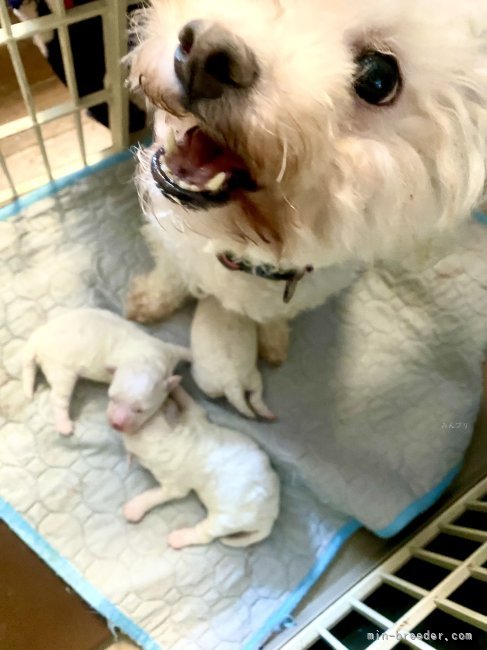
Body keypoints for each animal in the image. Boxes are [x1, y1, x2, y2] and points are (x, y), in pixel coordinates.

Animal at [22, 308, 192, 436]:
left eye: (140, 410)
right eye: (112, 399)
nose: (116, 424)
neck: (144, 360)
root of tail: (36, 340)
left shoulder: (167, 351)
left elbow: (182, 350)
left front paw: (194, 356)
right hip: (61, 369)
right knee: (57, 398)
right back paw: (64, 425)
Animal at [121, 384, 280, 548]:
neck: (170, 441)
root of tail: (269, 520)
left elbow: (157, 494)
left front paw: (134, 507)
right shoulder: (193, 419)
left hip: (226, 520)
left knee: (205, 536)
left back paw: (179, 537)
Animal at [125, 1, 487, 404]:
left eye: (379, 77)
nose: (205, 55)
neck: (241, 248)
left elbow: (273, 316)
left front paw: (273, 340)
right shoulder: (172, 244)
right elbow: (171, 274)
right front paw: (151, 301)